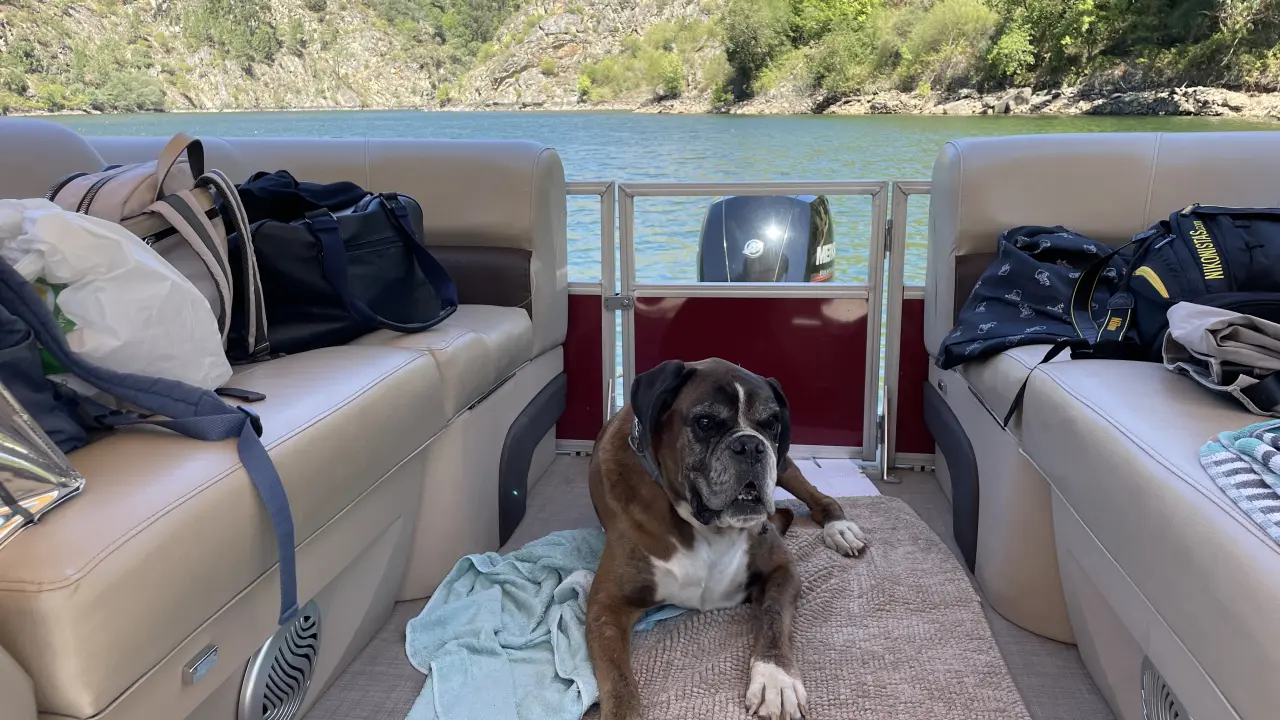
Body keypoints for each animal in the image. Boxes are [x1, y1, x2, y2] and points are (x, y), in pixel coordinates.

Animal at [586, 358, 868, 720]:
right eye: (705, 422)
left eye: (772, 423)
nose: (750, 445)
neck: (706, 527)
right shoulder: (606, 607)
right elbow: (618, 677)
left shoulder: (782, 571)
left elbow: (773, 618)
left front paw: (775, 679)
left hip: (785, 465)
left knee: (819, 498)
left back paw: (840, 527)